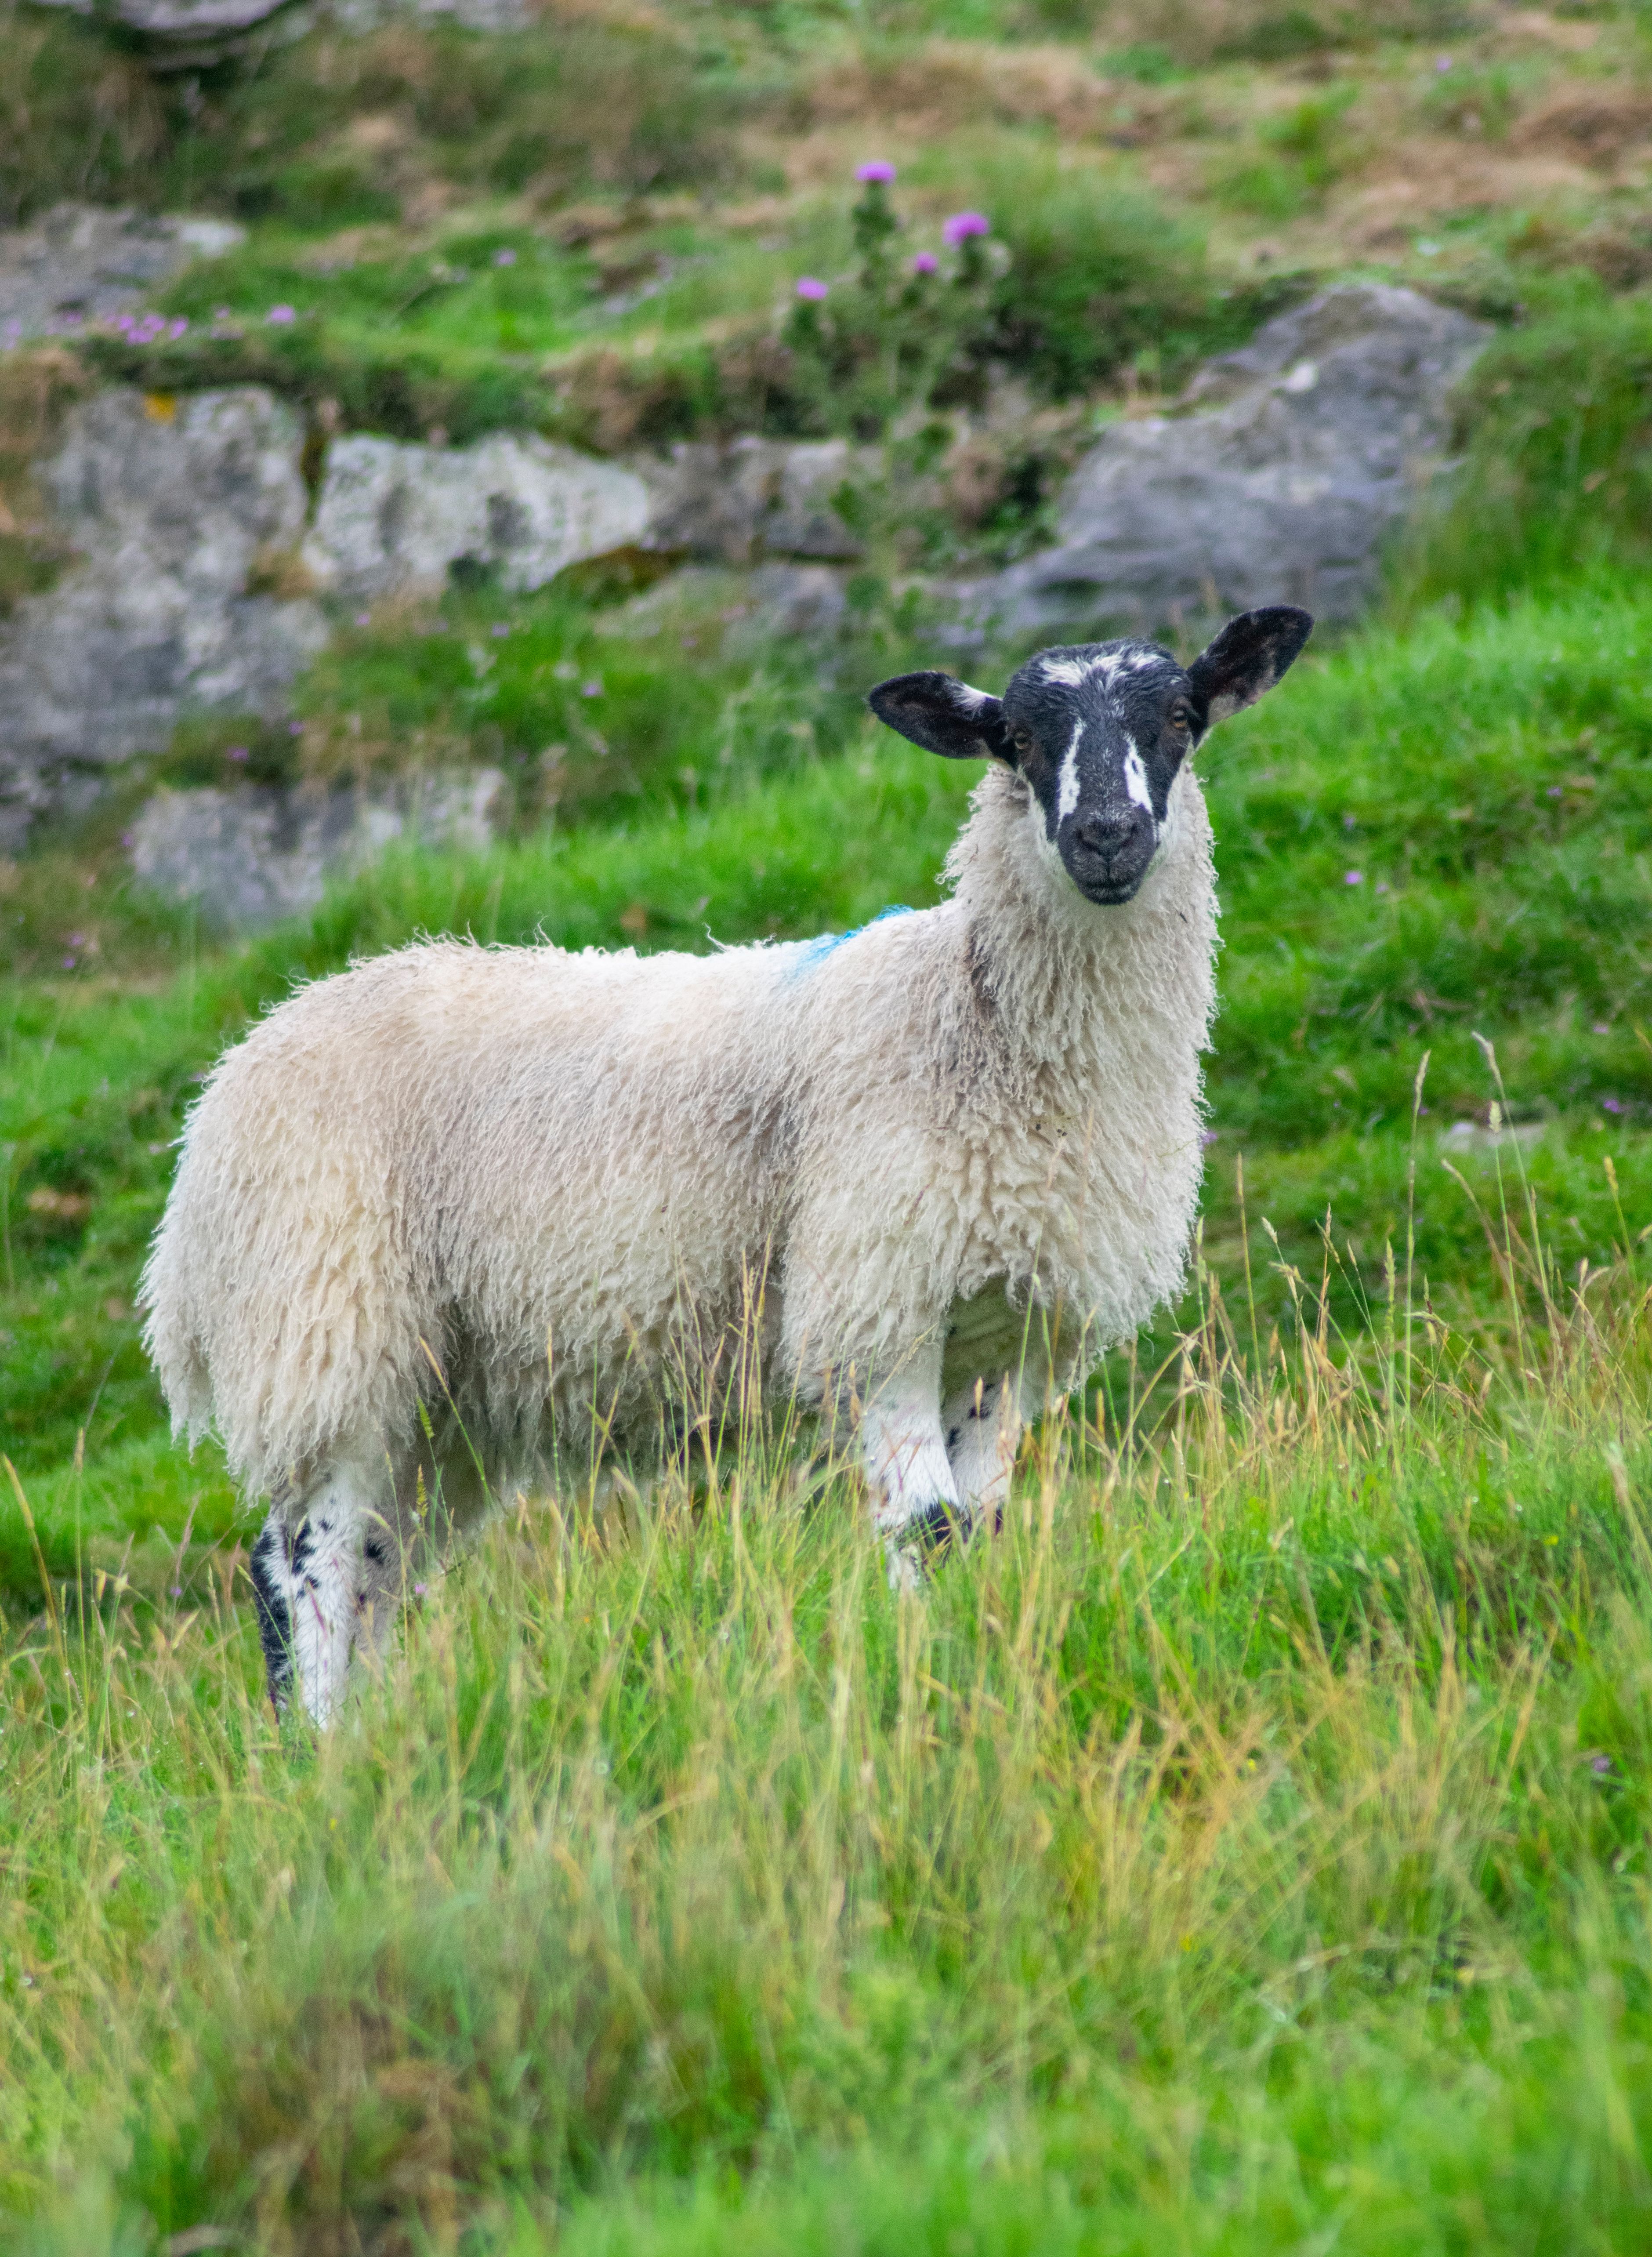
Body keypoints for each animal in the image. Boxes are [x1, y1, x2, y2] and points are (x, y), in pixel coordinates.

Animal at [141, 604, 1312, 1724]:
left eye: (1180, 721)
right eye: (1016, 742)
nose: (1104, 836)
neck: (969, 1011)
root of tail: (231, 1082)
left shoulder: (1003, 1332)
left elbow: (978, 1528)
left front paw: (976, 1656)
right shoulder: (870, 1301)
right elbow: (927, 1525)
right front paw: (929, 1685)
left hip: (450, 1394)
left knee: (375, 1567)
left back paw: (368, 1752)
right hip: (326, 1321)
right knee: (307, 1563)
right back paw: (314, 1748)